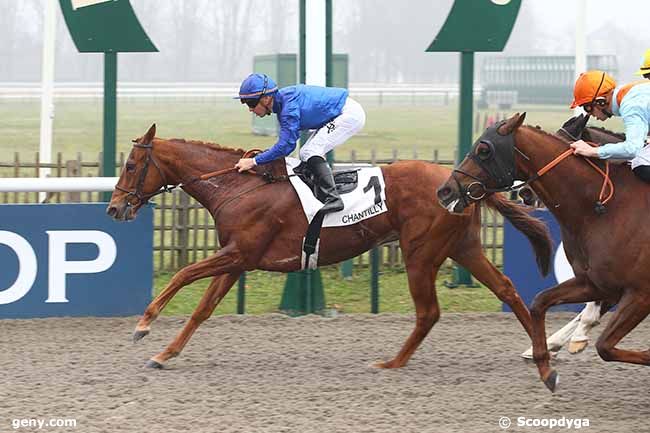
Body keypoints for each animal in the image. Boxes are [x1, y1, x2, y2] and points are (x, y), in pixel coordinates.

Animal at [109, 123, 548, 370]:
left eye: (130, 166)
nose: (114, 207)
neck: (239, 185)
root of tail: (464, 185)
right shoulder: (236, 260)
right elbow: (202, 309)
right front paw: (165, 354)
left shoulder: (239, 253)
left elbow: (182, 274)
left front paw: (143, 326)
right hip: (464, 248)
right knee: (507, 290)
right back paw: (541, 352)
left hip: (421, 254)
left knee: (429, 312)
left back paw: (393, 363)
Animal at [436, 114, 648, 392]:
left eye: (484, 150)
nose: (445, 191)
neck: (605, 208)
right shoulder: (596, 283)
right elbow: (540, 302)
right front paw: (549, 360)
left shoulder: (640, 293)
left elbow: (604, 344)